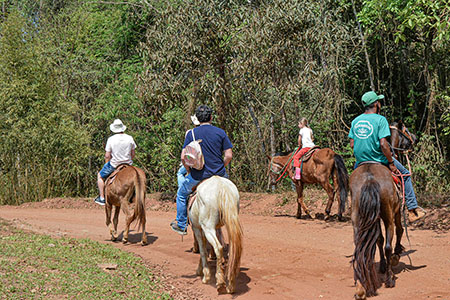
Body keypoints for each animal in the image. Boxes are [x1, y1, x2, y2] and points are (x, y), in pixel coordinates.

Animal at [348, 163, 404, 298]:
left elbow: (378, 239)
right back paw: (390, 279)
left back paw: (361, 287)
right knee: (389, 244)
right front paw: (396, 254)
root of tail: (369, 178)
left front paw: (382, 264)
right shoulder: (396, 210)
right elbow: (398, 231)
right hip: (389, 215)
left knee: (359, 247)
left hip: (357, 217)